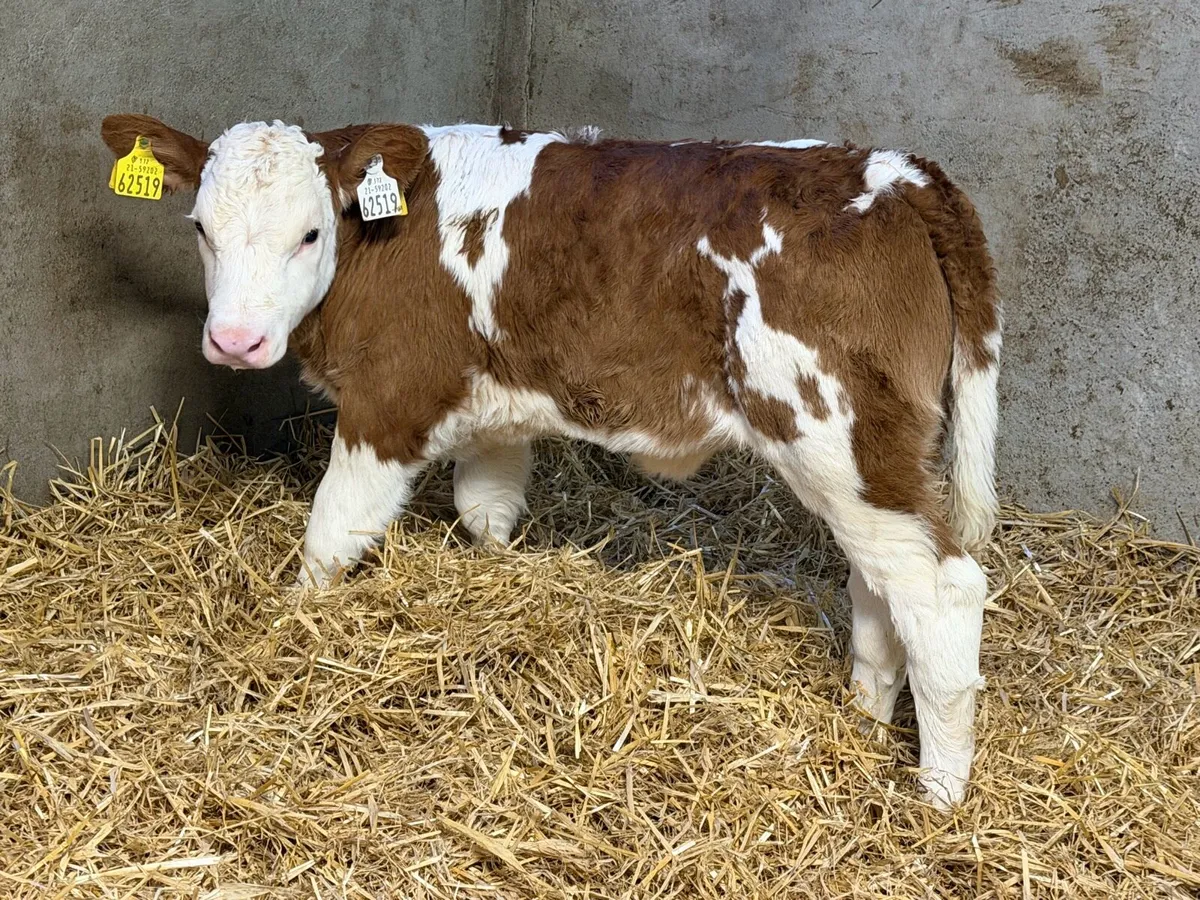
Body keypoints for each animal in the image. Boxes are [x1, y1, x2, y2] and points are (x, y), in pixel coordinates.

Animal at [101, 113, 1001, 808]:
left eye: (309, 234)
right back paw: (863, 724)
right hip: (874, 456)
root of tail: (897, 172)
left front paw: (289, 627)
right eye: (200, 229)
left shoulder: (389, 400)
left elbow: (331, 534)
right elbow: (487, 508)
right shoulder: (493, 408)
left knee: (942, 590)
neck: (386, 239)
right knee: (880, 588)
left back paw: (939, 795)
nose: (235, 341)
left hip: (834, 431)